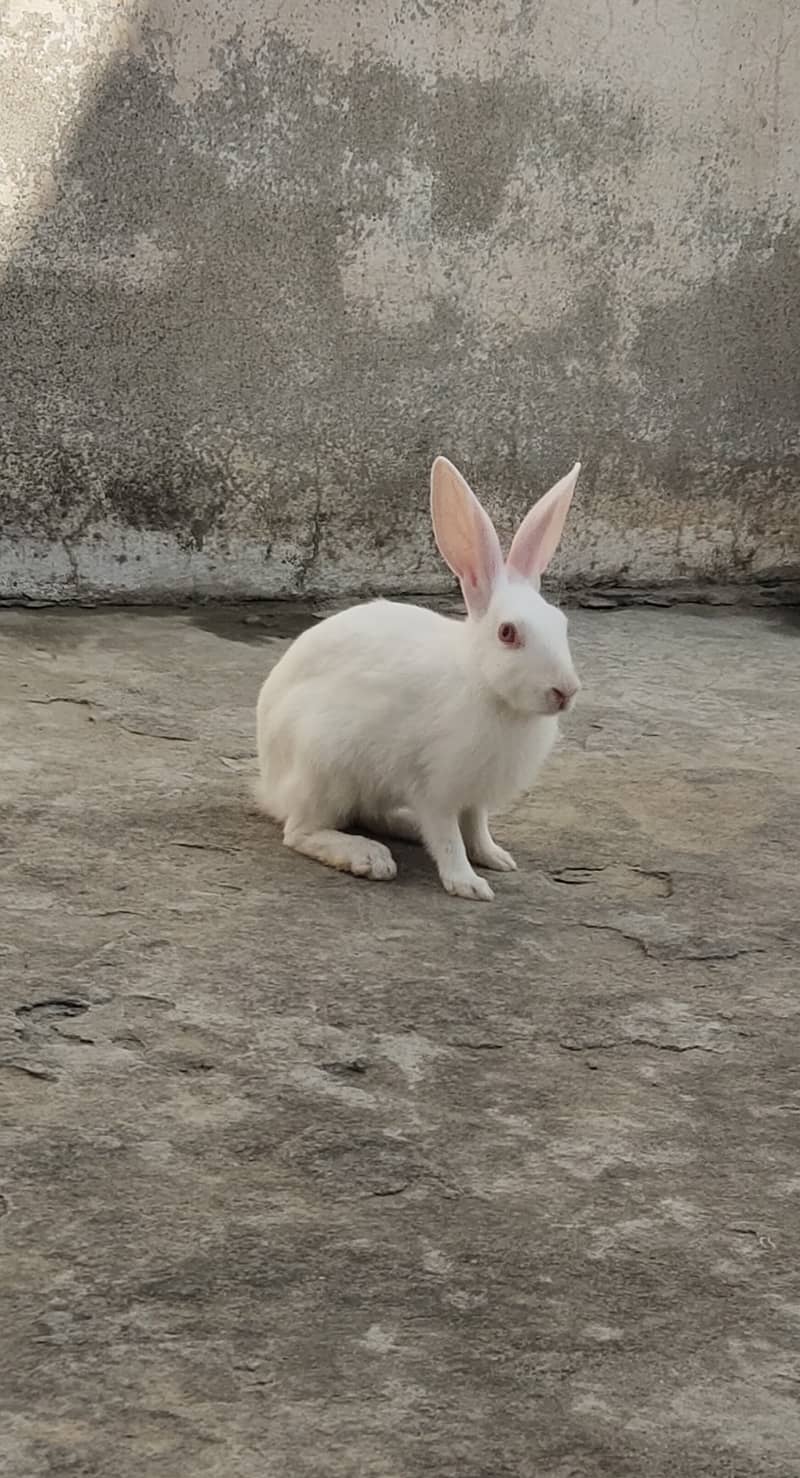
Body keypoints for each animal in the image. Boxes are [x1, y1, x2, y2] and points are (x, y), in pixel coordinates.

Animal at [255, 452, 579, 898]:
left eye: (561, 623)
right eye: (507, 633)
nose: (566, 691)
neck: (484, 686)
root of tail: (269, 785)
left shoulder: (473, 795)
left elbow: (476, 828)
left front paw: (495, 858)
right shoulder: (435, 788)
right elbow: (448, 837)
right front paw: (468, 884)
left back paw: (403, 829)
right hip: (324, 766)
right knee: (301, 831)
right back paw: (368, 857)